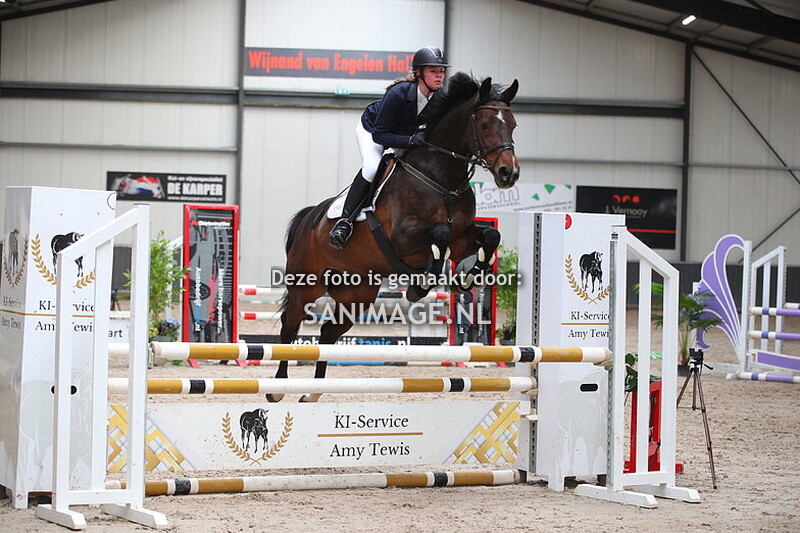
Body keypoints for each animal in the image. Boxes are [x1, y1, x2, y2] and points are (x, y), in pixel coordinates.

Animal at [269, 72, 520, 402]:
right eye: (486, 124)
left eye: (513, 124)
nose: (509, 174)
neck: (442, 180)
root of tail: (310, 217)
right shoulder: (404, 239)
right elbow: (438, 235)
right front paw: (422, 284)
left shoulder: (461, 239)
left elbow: (490, 234)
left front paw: (465, 278)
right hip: (306, 284)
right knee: (290, 324)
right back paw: (278, 388)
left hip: (356, 293)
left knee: (328, 333)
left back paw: (313, 393)